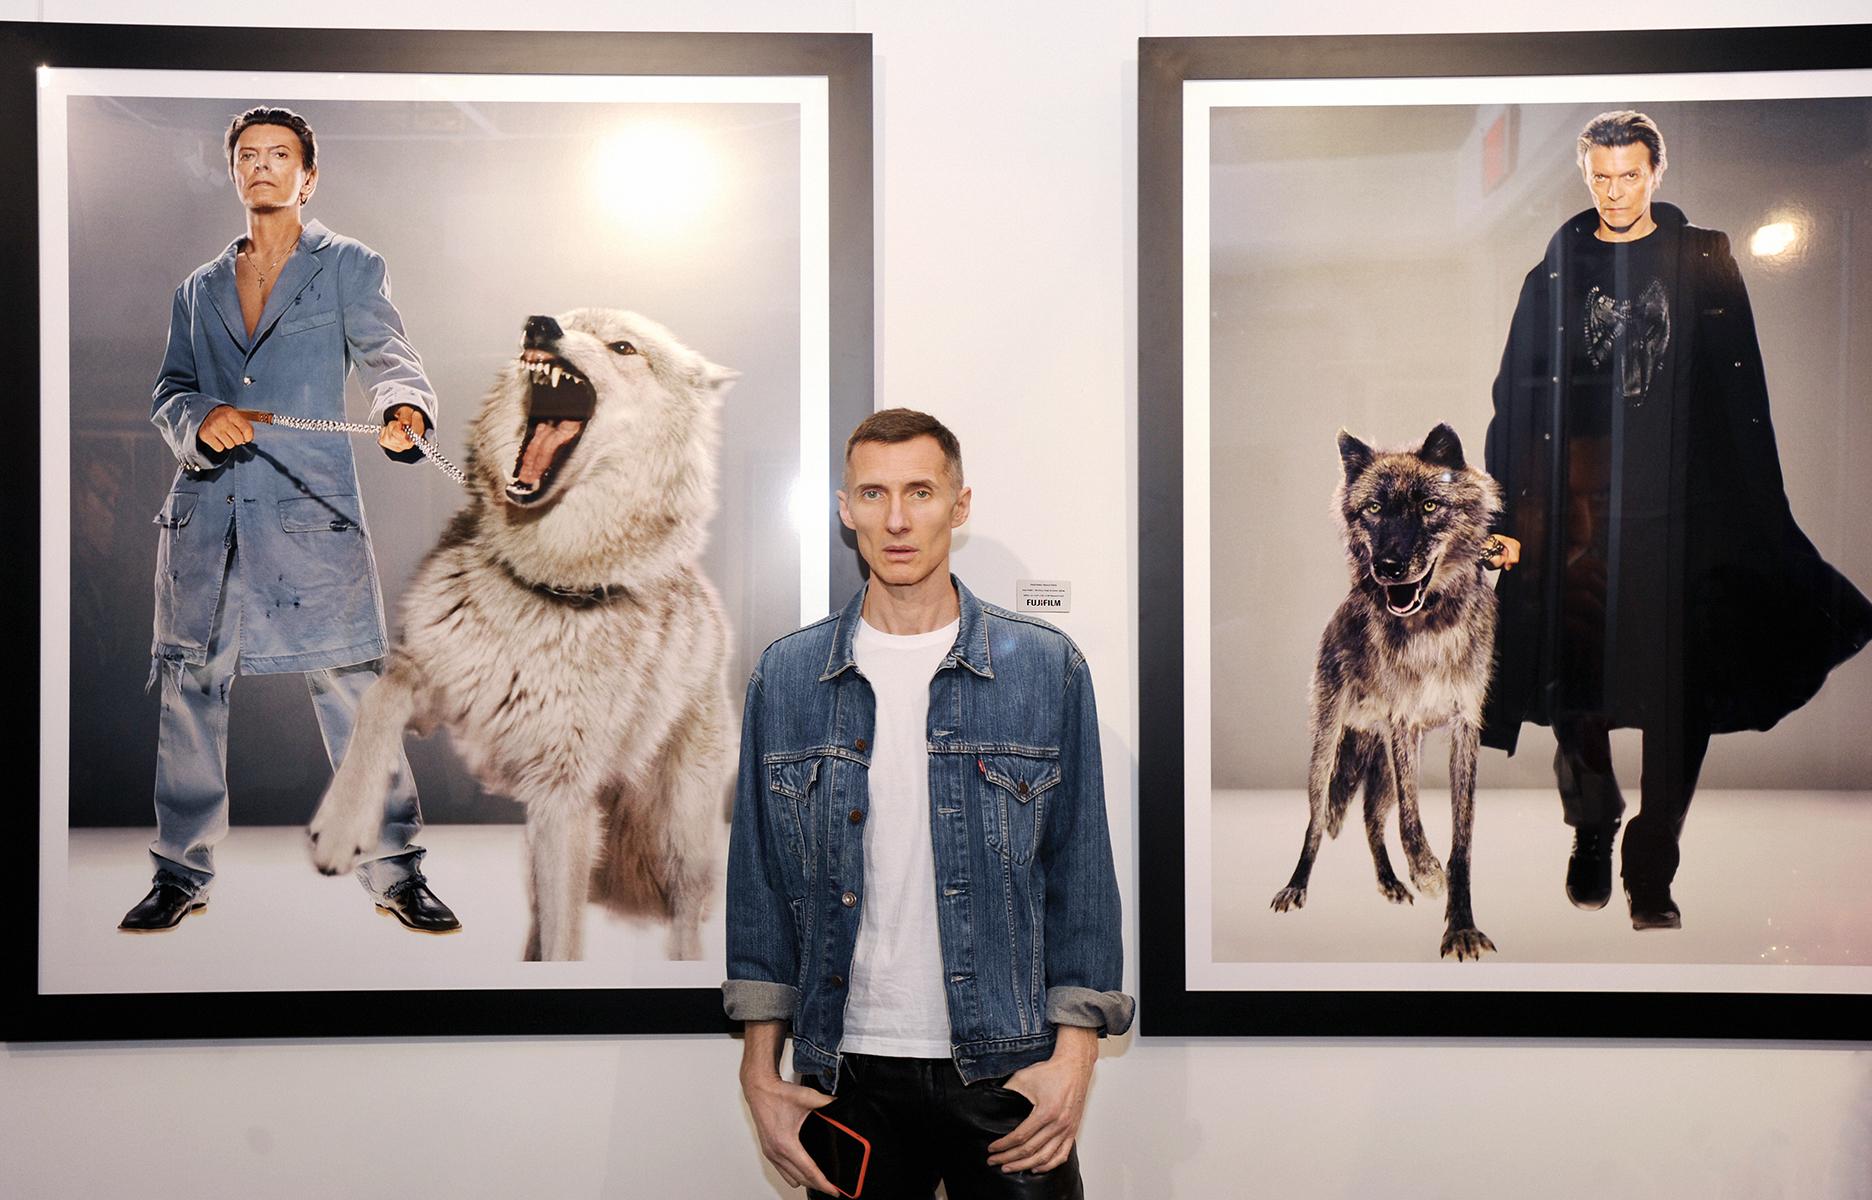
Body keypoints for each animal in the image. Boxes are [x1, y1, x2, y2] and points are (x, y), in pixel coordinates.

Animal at [308, 307, 737, 954]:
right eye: (569, 317)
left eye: (623, 347)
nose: (540, 323)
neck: (545, 581)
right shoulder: (431, 682)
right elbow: (376, 705)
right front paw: (340, 827)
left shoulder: (564, 798)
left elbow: (566, 945)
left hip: (676, 838)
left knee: (685, 918)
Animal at [1265, 426, 1497, 958]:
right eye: (1372, 509)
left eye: (1429, 506)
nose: (1388, 566)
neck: (1432, 627)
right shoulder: (1403, 725)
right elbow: (1413, 818)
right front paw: (1427, 872)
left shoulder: (1463, 729)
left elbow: (1462, 840)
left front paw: (1460, 925)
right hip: (1329, 752)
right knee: (1317, 820)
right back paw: (1296, 887)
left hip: (1383, 761)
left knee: (1372, 820)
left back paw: (1390, 883)